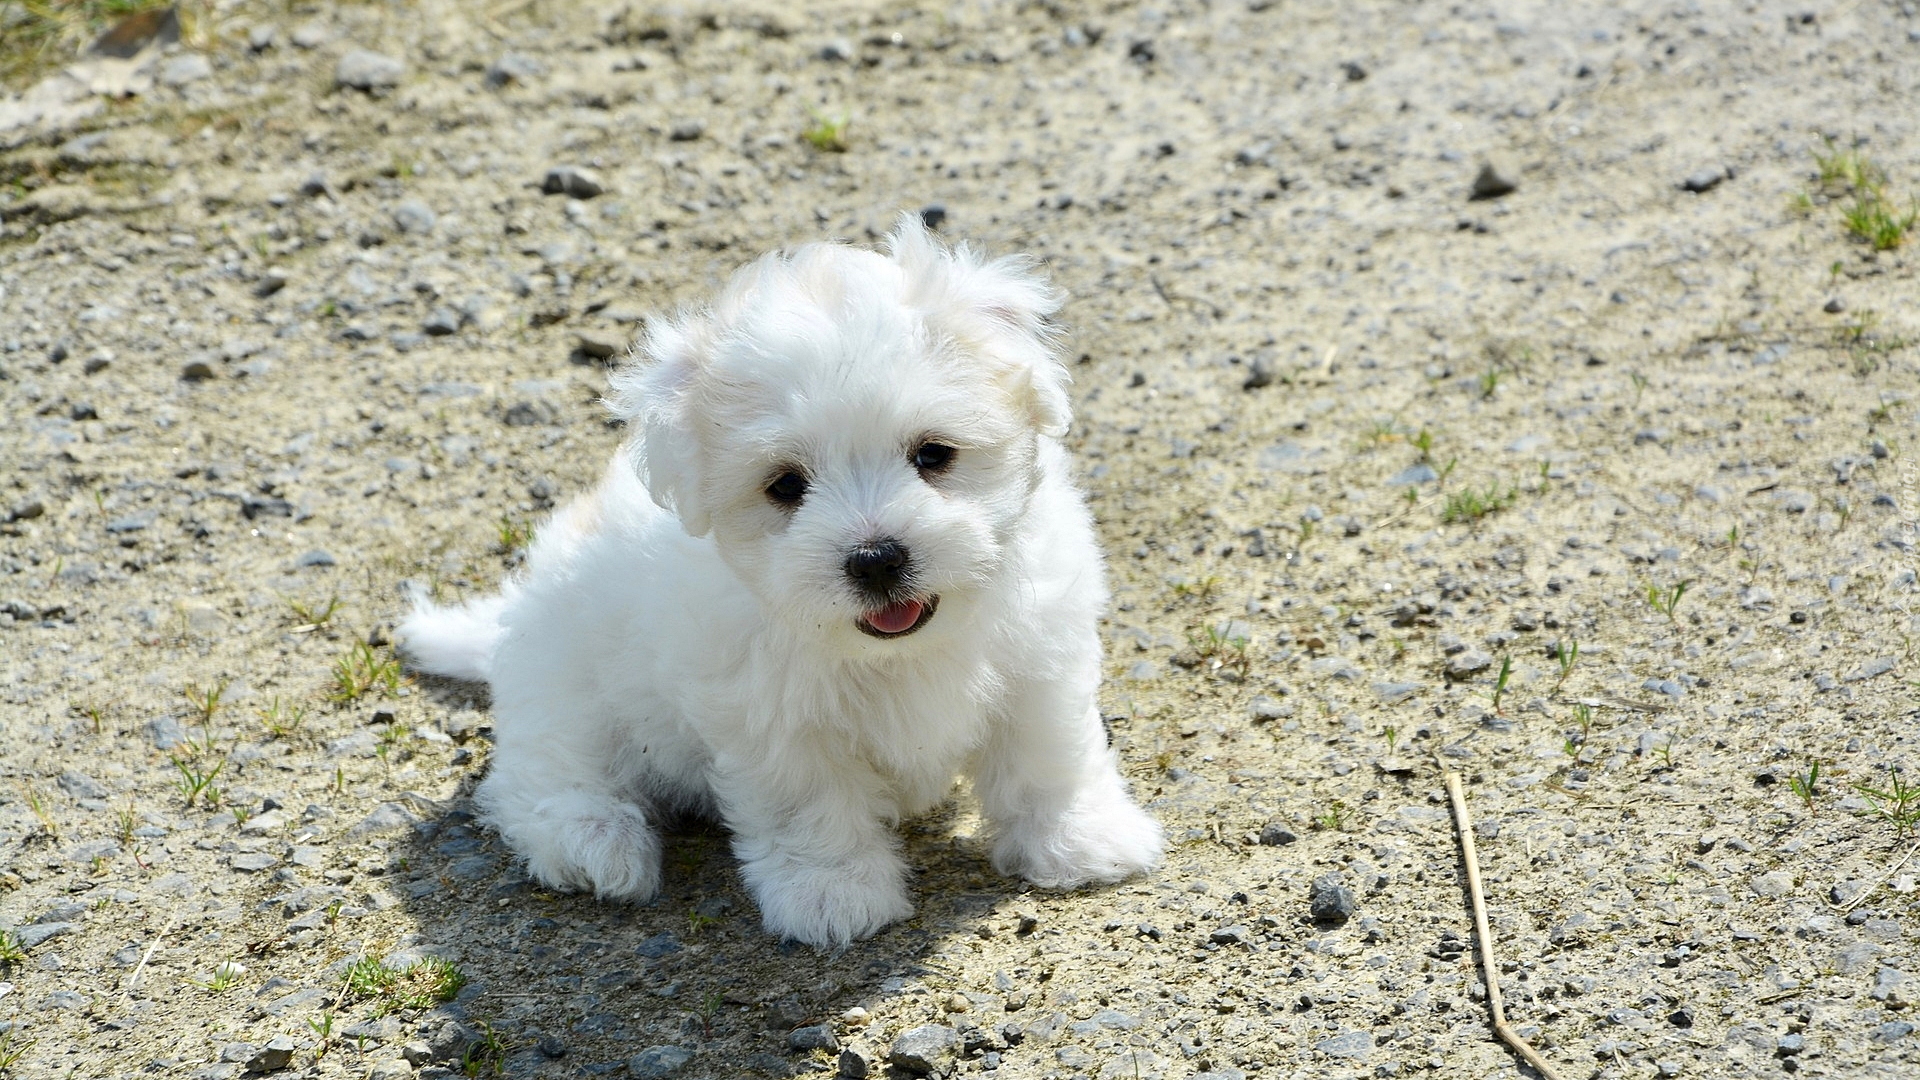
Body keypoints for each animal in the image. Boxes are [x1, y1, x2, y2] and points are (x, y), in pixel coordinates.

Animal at [399, 216, 1159, 941]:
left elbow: (1047, 756)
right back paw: (594, 841)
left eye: (934, 454)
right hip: (564, 685)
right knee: (541, 773)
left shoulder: (1039, 660)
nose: (877, 558)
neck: (895, 651)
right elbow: (809, 805)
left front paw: (1080, 838)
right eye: (786, 485)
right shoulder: (769, 716)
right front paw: (833, 894)